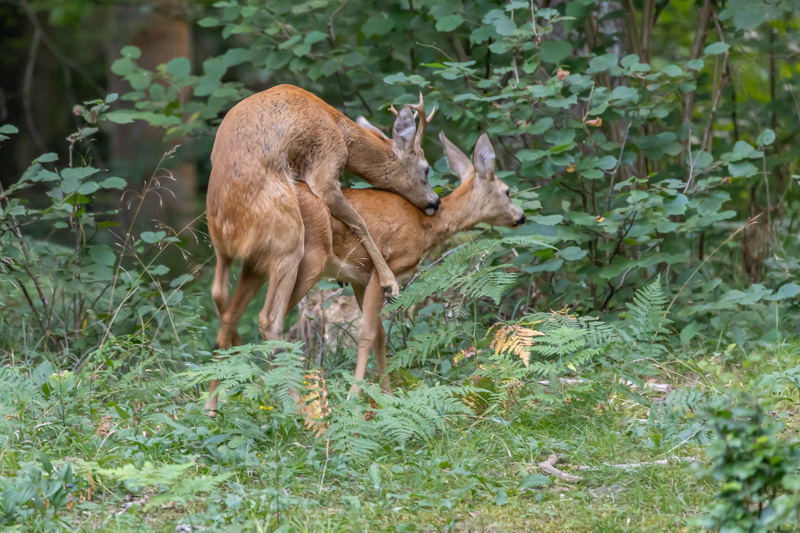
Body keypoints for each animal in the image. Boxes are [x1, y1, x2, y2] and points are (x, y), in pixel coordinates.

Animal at [203, 84, 434, 416]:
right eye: (426, 169)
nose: (435, 202)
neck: (339, 126)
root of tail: (232, 229)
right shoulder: (326, 166)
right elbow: (358, 222)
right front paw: (389, 283)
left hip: (228, 253)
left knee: (221, 300)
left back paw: (215, 398)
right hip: (289, 242)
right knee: (269, 319)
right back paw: (297, 406)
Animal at [211, 131, 524, 402]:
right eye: (508, 191)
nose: (520, 217)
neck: (426, 227)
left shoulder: (359, 279)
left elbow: (380, 336)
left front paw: (386, 394)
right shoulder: (383, 271)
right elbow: (368, 333)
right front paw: (355, 394)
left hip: (256, 263)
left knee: (229, 314)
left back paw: (218, 402)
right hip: (307, 257)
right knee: (269, 319)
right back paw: (291, 401)